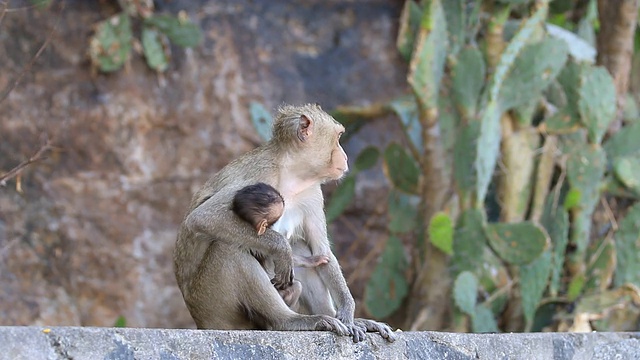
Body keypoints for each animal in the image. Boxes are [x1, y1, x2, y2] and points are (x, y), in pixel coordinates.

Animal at [175, 102, 396, 342]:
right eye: (338, 137)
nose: (345, 157)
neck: (291, 175)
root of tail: (201, 320)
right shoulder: (258, 176)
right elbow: (203, 217)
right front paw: (281, 248)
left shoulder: (312, 193)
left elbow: (322, 252)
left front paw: (348, 311)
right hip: (213, 303)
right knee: (227, 249)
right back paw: (291, 320)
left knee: (304, 250)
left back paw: (333, 316)